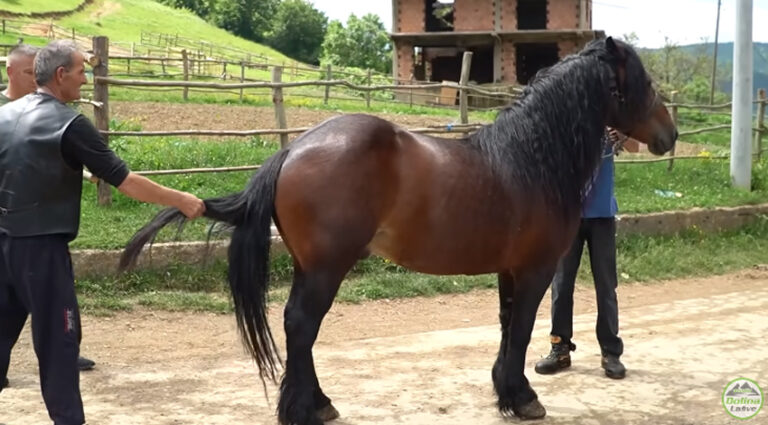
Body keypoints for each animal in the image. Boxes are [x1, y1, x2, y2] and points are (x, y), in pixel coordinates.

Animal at [121, 38, 680, 422]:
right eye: (648, 85)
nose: (670, 135)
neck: (529, 160)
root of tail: (294, 149)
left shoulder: (509, 271)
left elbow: (506, 329)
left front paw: (505, 391)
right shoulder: (535, 270)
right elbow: (521, 330)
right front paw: (523, 399)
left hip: (310, 266)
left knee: (297, 328)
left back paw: (317, 402)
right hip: (327, 269)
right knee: (302, 326)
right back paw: (309, 407)